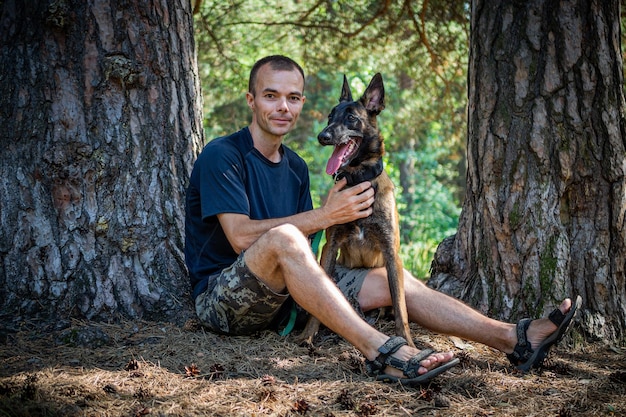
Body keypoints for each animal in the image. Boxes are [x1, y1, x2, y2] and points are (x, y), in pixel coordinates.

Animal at [298, 72, 414, 348]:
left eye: (351, 117)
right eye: (330, 116)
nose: (322, 136)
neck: (359, 178)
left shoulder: (392, 253)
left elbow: (400, 307)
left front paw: (409, 343)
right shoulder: (330, 247)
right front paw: (308, 334)